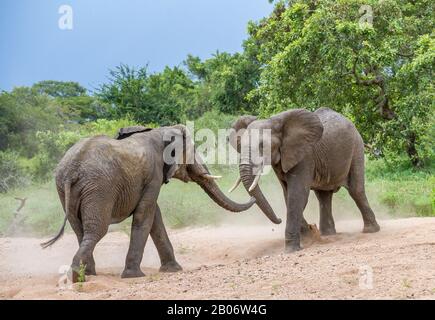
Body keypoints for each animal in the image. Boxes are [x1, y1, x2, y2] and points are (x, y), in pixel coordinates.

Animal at [41, 125, 270, 280]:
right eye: (193, 153)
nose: (252, 195)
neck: (162, 130)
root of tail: (72, 169)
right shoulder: (153, 173)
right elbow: (145, 215)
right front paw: (134, 276)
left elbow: (154, 216)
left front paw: (173, 270)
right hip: (99, 188)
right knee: (97, 230)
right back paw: (77, 275)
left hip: (65, 188)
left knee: (80, 229)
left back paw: (87, 274)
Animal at [230, 107, 380, 252]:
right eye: (240, 145)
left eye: (262, 146)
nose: (279, 219)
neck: (274, 122)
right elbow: (287, 194)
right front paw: (308, 236)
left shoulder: (304, 156)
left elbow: (297, 194)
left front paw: (292, 249)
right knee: (323, 196)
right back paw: (327, 234)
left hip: (357, 147)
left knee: (356, 190)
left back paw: (371, 230)